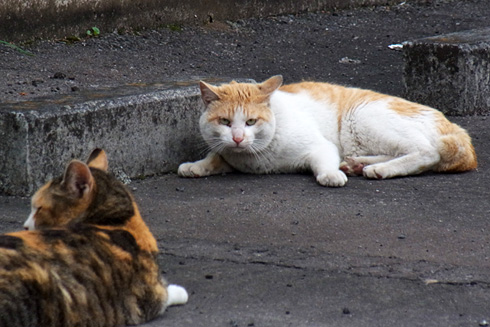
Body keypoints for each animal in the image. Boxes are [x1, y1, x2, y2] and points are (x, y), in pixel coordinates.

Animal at [178, 75, 476, 187]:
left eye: (251, 122)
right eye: (225, 122)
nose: (238, 138)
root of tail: (455, 126)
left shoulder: (321, 147)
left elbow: (323, 161)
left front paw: (330, 175)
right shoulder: (230, 154)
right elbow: (216, 157)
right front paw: (196, 166)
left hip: (364, 116)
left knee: (427, 153)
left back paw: (379, 169)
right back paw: (358, 164)